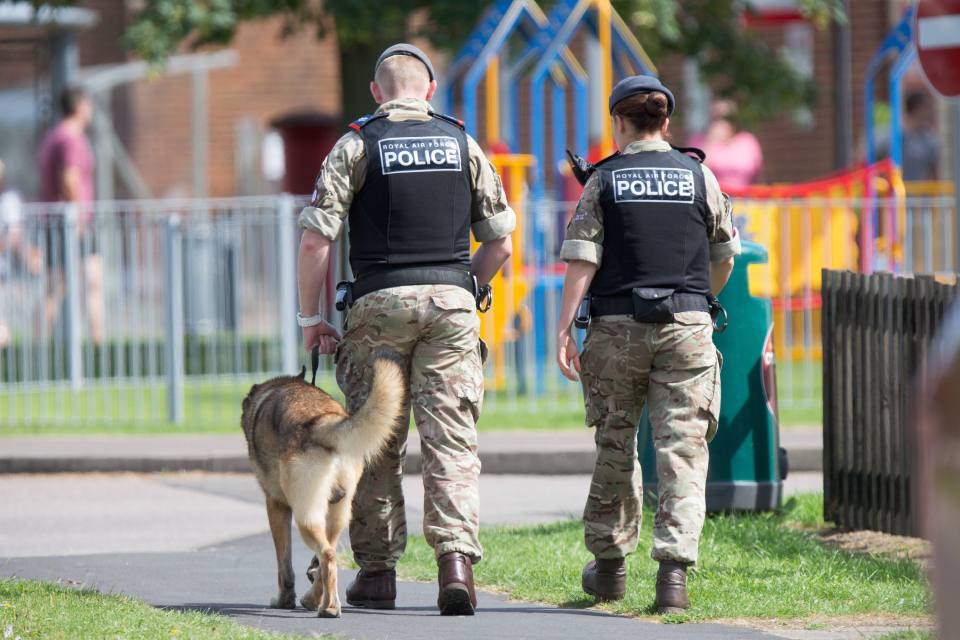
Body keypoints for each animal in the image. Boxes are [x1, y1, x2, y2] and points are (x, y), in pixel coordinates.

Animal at [242, 352, 406, 616]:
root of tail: (323, 422)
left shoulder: (276, 507)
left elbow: (284, 566)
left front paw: (283, 600)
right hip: (338, 515)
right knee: (327, 557)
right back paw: (320, 601)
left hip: (306, 516)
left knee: (327, 555)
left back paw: (326, 608)